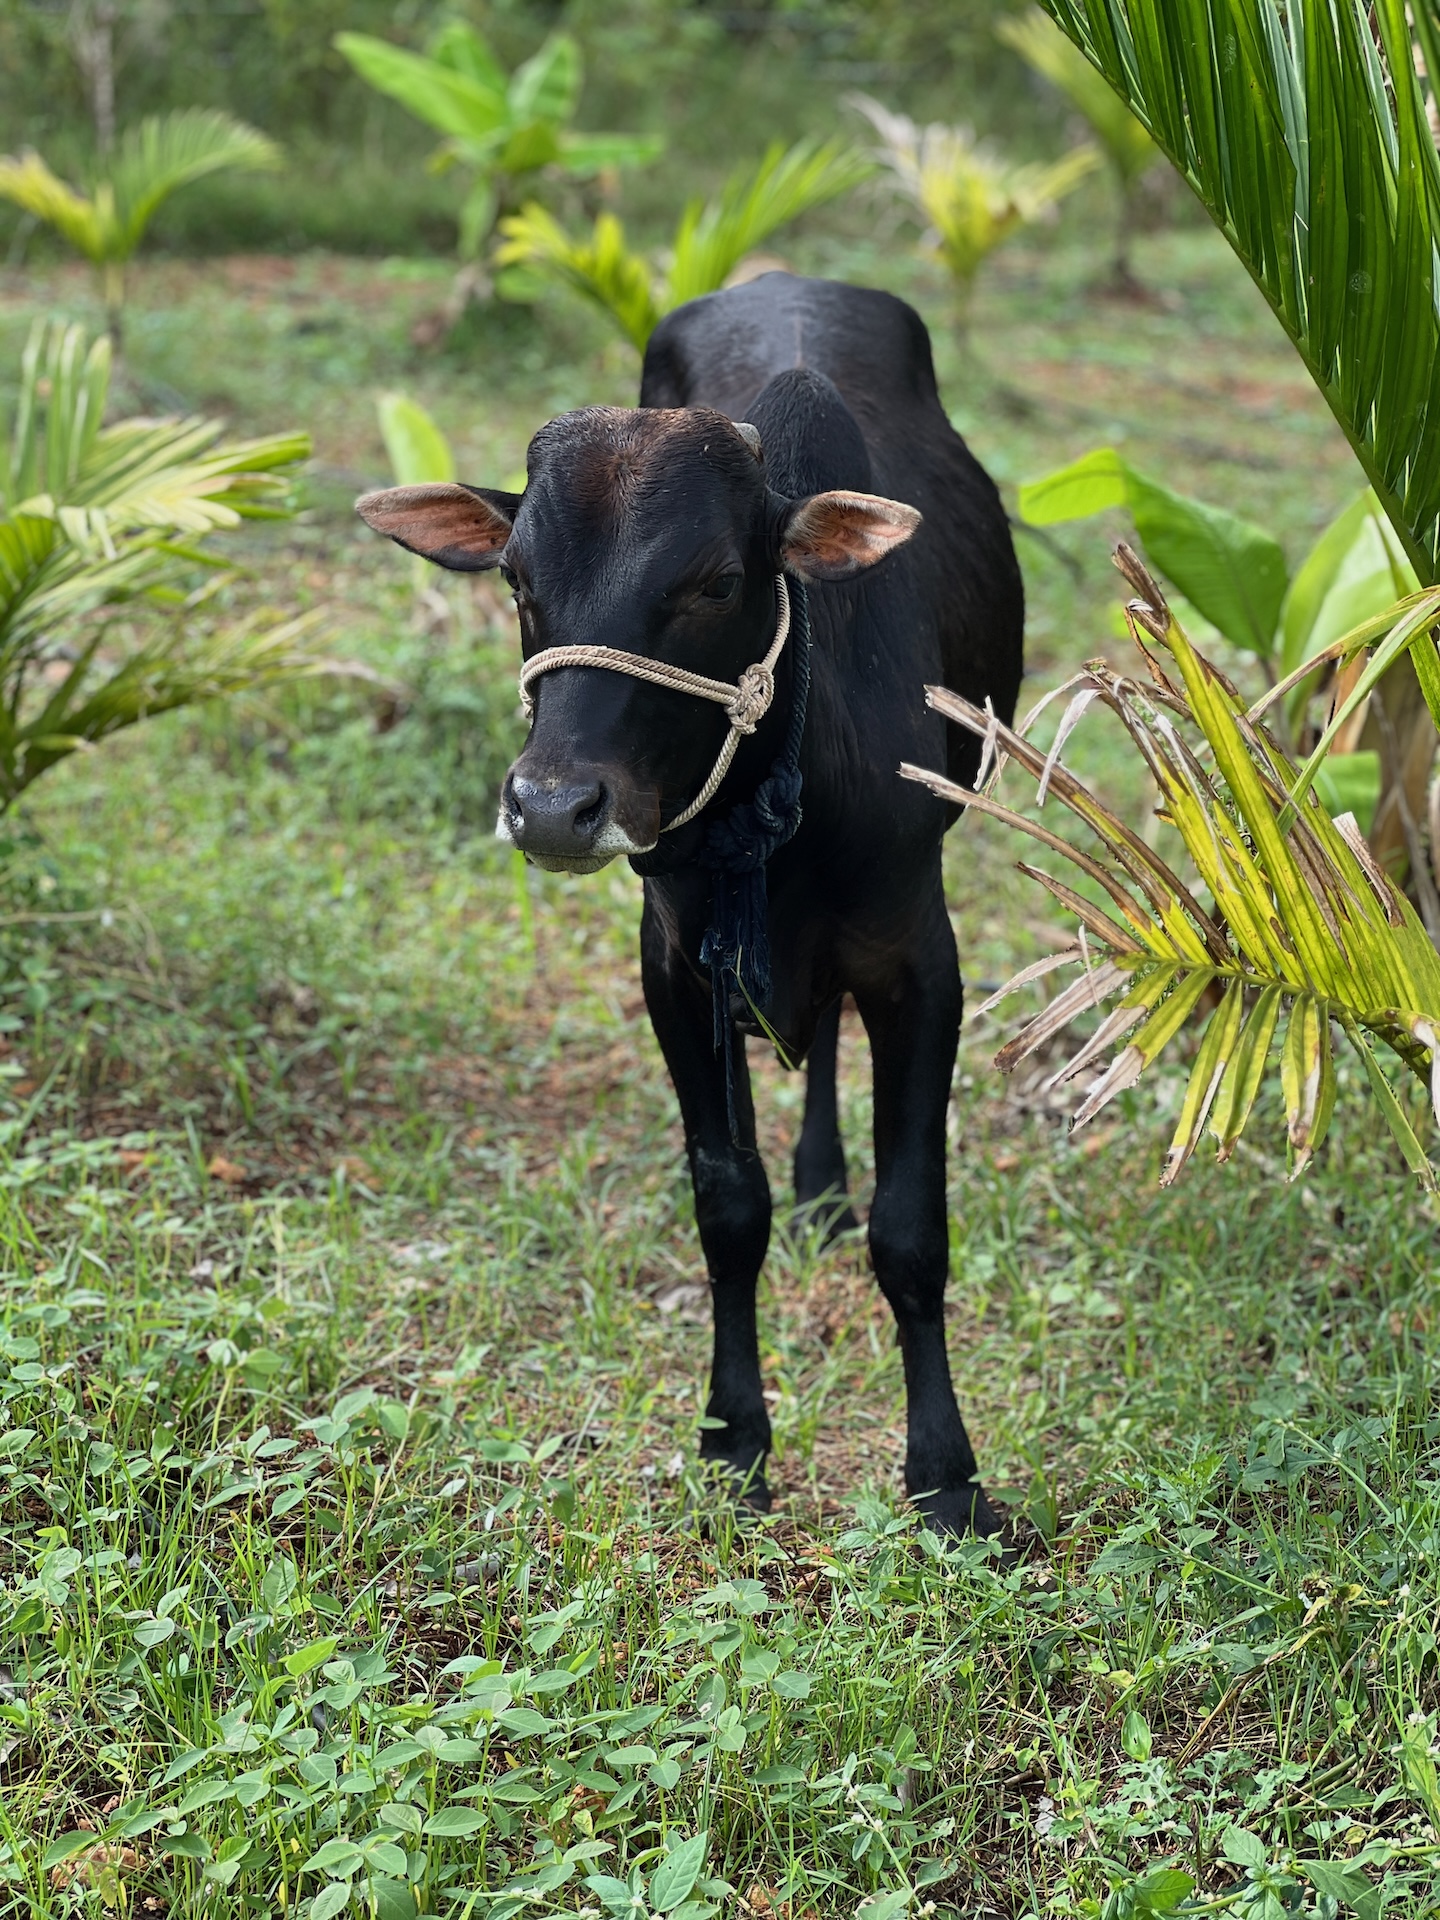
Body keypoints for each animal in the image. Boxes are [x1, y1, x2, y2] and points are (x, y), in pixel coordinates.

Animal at [357, 272, 1024, 1536]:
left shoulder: (923, 959)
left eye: (714, 582)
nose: (552, 806)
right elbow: (727, 1210)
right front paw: (735, 1437)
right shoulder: (674, 965)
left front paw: (948, 1474)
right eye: (517, 579)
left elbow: (912, 1231)